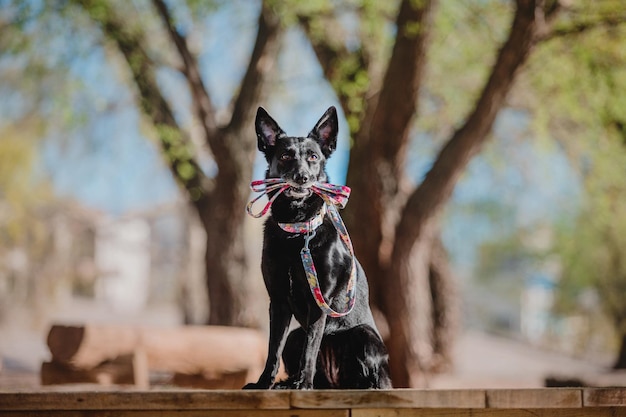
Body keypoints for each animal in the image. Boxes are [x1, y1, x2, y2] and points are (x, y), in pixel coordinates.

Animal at [244, 105, 390, 388]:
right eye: (286, 155)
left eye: (313, 157)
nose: (302, 178)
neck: (297, 231)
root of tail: (336, 382)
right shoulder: (278, 302)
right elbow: (273, 349)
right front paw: (264, 383)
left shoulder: (319, 304)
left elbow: (311, 348)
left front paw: (303, 385)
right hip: (295, 337)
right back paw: (288, 383)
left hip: (364, 336)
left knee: (372, 376)